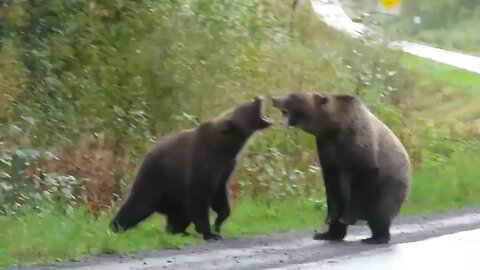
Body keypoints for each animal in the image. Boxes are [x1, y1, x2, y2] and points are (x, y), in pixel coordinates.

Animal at [109, 96, 274, 240]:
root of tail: (145, 157)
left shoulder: (225, 168)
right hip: (155, 179)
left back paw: (179, 231)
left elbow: (220, 196)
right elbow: (198, 197)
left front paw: (218, 222)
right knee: (138, 205)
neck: (226, 146)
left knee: (178, 215)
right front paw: (209, 233)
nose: (258, 97)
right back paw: (115, 227)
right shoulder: (203, 161)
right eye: (247, 106)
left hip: (173, 197)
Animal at [272, 92, 410, 245]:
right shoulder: (326, 147)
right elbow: (331, 182)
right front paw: (330, 218)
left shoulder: (357, 140)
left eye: (293, 96)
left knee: (381, 211)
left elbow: (363, 175)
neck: (333, 128)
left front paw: (349, 217)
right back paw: (327, 234)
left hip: (390, 186)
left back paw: (376, 237)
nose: (274, 99)